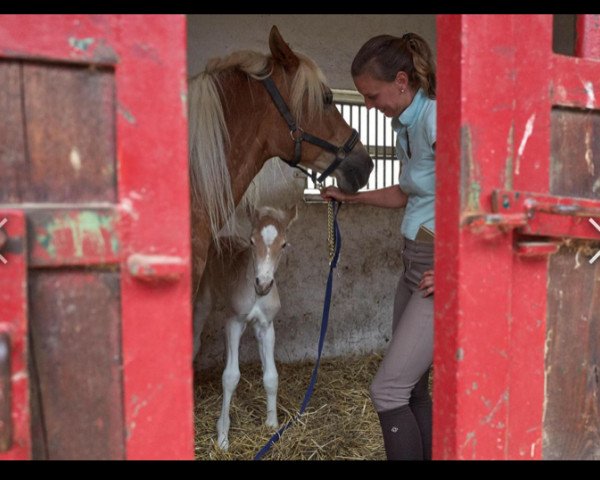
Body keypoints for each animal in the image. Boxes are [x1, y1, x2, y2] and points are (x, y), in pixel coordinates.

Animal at [195, 205, 298, 450]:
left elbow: (271, 376)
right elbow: (231, 376)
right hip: (204, 299)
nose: (264, 283)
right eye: (251, 241)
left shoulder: (266, 326)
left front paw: (272, 425)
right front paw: (223, 437)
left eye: (284, 244)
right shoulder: (234, 322)